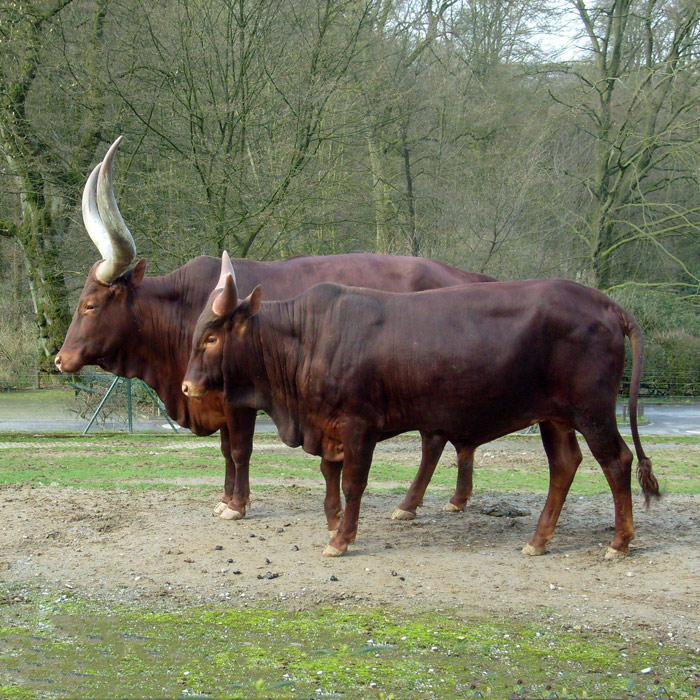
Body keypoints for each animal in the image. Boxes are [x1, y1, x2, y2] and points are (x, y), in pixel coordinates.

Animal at [56, 135, 498, 520]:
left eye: (90, 305)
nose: (60, 360)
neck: (185, 308)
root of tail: (465, 275)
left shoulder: (239, 401)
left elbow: (239, 450)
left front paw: (236, 506)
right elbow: (225, 450)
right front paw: (225, 499)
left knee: (433, 441)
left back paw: (410, 503)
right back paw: (454, 499)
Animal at [183, 252, 660, 556]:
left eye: (211, 337)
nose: (187, 387)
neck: (311, 337)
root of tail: (605, 303)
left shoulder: (358, 426)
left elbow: (353, 482)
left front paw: (341, 539)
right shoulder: (328, 426)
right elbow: (330, 476)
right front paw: (334, 523)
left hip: (592, 411)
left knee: (616, 462)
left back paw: (619, 543)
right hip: (555, 416)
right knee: (563, 466)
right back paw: (538, 541)